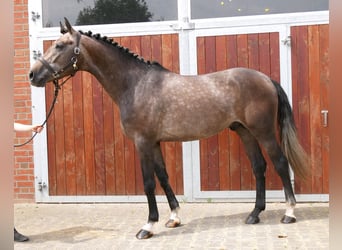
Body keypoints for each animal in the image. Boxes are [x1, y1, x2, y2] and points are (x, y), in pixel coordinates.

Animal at [28, 18, 308, 239]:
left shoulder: (142, 142)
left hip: (264, 132)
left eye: (60, 45)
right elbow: (163, 177)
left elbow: (149, 183)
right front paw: (173, 217)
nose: (32, 75)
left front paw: (148, 226)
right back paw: (254, 214)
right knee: (259, 167)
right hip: (244, 131)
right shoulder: (154, 143)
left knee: (280, 163)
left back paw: (289, 213)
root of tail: (266, 78)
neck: (135, 84)